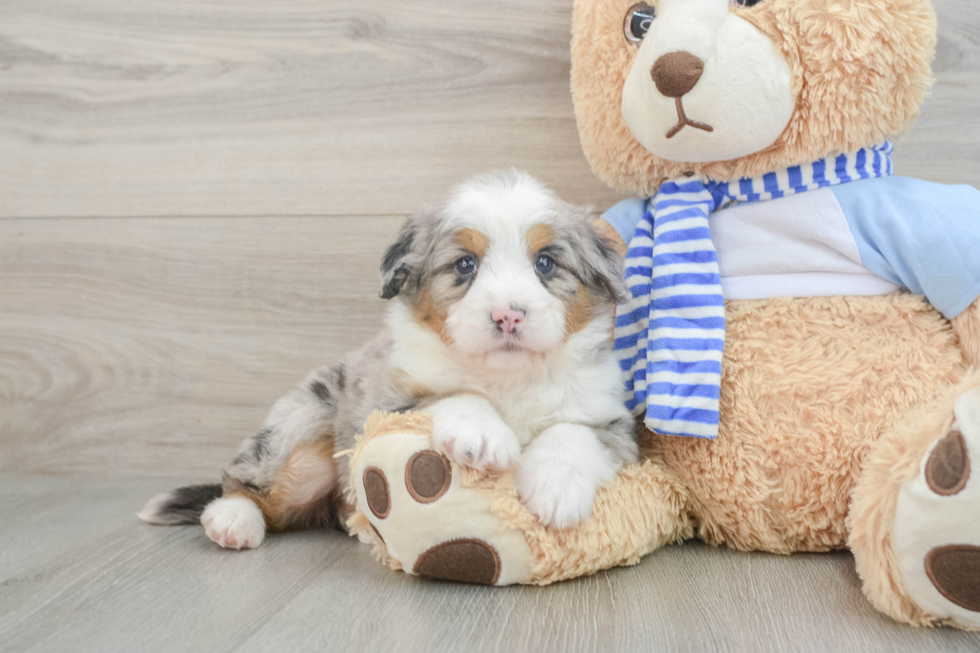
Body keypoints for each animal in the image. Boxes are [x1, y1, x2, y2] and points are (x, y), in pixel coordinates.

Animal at [142, 171, 640, 548]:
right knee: (245, 481)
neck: (507, 377)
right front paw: (484, 436)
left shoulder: (611, 419)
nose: (508, 315)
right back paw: (231, 519)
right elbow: (456, 395)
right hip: (301, 430)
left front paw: (556, 491)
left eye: (545, 263)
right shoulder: (387, 403)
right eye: (465, 265)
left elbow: (572, 433)